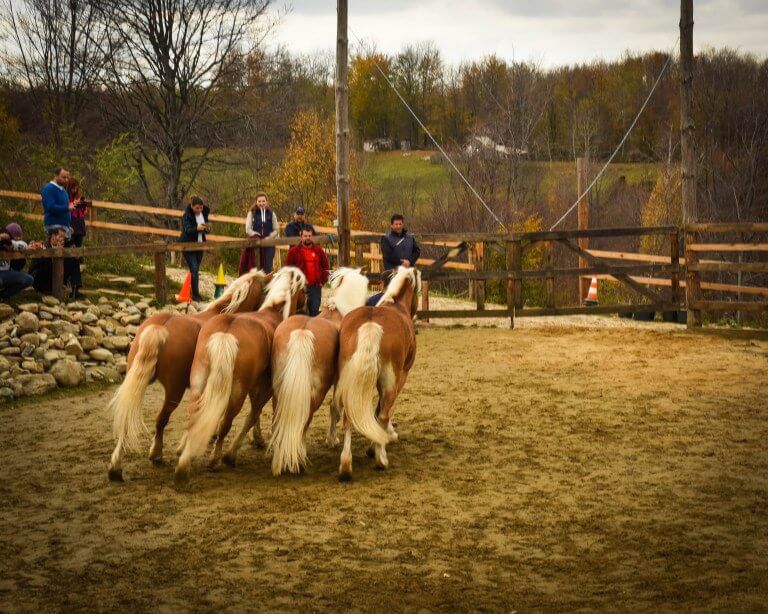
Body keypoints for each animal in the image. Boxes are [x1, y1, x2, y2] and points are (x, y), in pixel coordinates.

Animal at [106, 270, 270, 482]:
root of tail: (160, 327)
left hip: (136, 381)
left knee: (127, 417)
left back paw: (116, 467)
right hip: (174, 391)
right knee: (161, 420)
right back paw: (156, 454)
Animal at [174, 266, 306, 486]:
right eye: (303, 289)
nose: (307, 306)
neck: (272, 312)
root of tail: (226, 333)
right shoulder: (267, 387)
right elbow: (254, 413)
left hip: (199, 383)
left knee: (194, 416)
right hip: (236, 393)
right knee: (226, 423)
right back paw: (215, 460)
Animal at [268, 268, 370, 476]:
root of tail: (302, 333)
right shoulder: (339, 381)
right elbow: (335, 407)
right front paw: (332, 439)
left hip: (279, 389)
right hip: (315, 393)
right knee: (303, 421)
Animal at [334, 268, 420, 484]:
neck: (396, 303)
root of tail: (371, 324)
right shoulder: (401, 376)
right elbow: (384, 409)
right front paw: (384, 438)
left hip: (349, 380)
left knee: (348, 417)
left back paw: (346, 466)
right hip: (390, 380)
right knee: (382, 414)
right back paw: (381, 458)